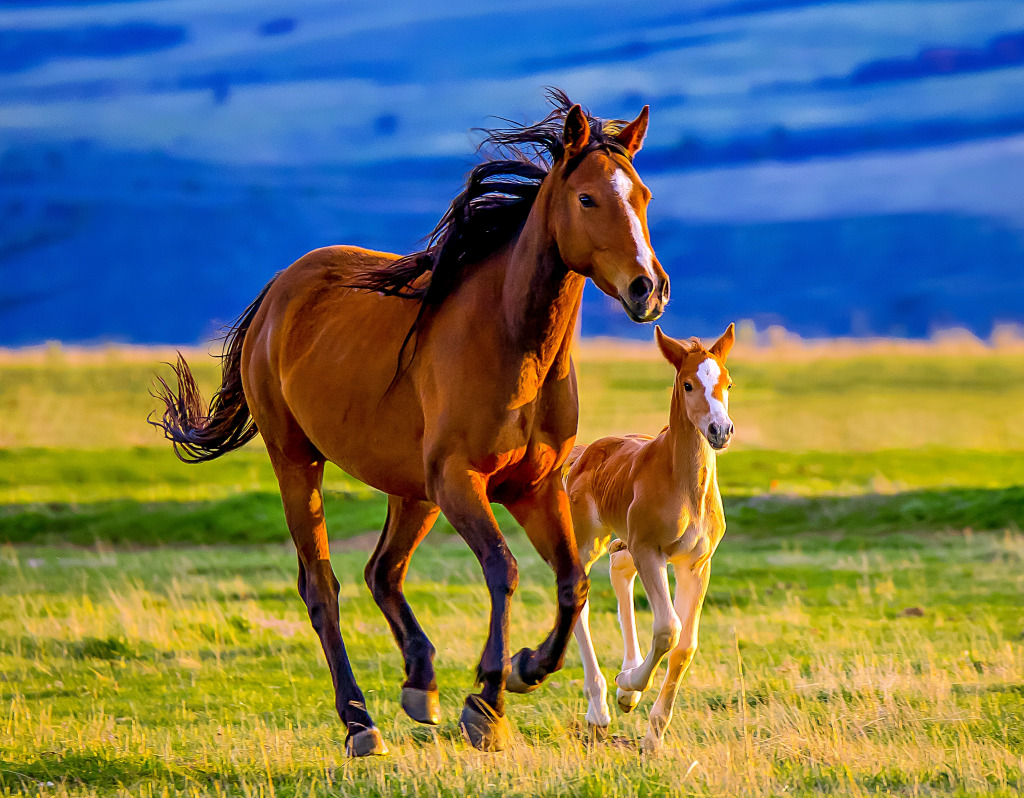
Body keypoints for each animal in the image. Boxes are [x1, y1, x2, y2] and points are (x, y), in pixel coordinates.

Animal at [152, 90, 670, 756]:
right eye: (587, 198)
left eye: (644, 196)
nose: (648, 289)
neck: (512, 343)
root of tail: (278, 293)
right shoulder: (460, 482)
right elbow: (503, 570)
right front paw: (487, 703)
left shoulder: (533, 488)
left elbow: (572, 583)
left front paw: (526, 668)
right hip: (300, 463)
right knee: (322, 587)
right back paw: (359, 721)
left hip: (411, 491)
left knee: (382, 572)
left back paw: (420, 682)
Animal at [565, 323, 734, 752]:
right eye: (688, 384)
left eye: (727, 383)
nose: (720, 430)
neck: (685, 485)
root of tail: (584, 452)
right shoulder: (650, 550)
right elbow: (667, 628)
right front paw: (628, 685)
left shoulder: (695, 564)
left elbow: (685, 645)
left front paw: (653, 735)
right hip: (588, 540)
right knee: (579, 595)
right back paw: (601, 709)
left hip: (626, 542)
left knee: (618, 568)